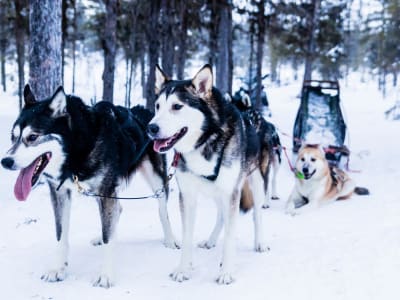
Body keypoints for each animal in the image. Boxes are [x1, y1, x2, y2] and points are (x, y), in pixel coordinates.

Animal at [1, 85, 177, 288]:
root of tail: (143, 111)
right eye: (13, 137)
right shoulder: (60, 193)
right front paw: (58, 268)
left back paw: (170, 240)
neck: (77, 150)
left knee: (162, 211)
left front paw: (106, 275)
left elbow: (109, 237)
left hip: (156, 181)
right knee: (118, 210)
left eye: (32, 137)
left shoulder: (106, 191)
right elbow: (61, 234)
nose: (5, 161)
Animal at [148, 64, 268, 284]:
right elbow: (187, 236)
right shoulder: (188, 195)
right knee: (221, 216)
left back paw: (260, 242)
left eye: (177, 106)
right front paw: (183, 269)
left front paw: (226, 272)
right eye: (158, 106)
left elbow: (230, 236)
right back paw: (211, 241)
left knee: (256, 215)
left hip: (255, 183)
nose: (151, 127)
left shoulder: (232, 192)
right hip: (217, 192)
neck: (205, 140)